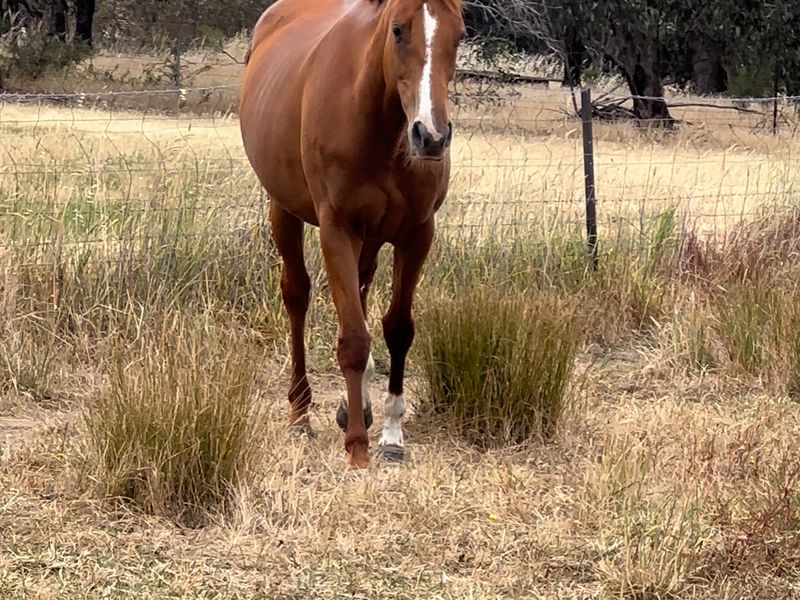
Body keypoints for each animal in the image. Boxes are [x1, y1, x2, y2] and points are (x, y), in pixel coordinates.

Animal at [239, 0, 465, 469]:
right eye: (398, 30)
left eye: (461, 34)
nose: (431, 136)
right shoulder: (337, 228)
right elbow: (354, 338)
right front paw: (358, 447)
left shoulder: (417, 233)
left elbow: (398, 328)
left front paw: (392, 434)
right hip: (284, 210)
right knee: (297, 295)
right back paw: (300, 413)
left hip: (372, 238)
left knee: (360, 291)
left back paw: (354, 406)